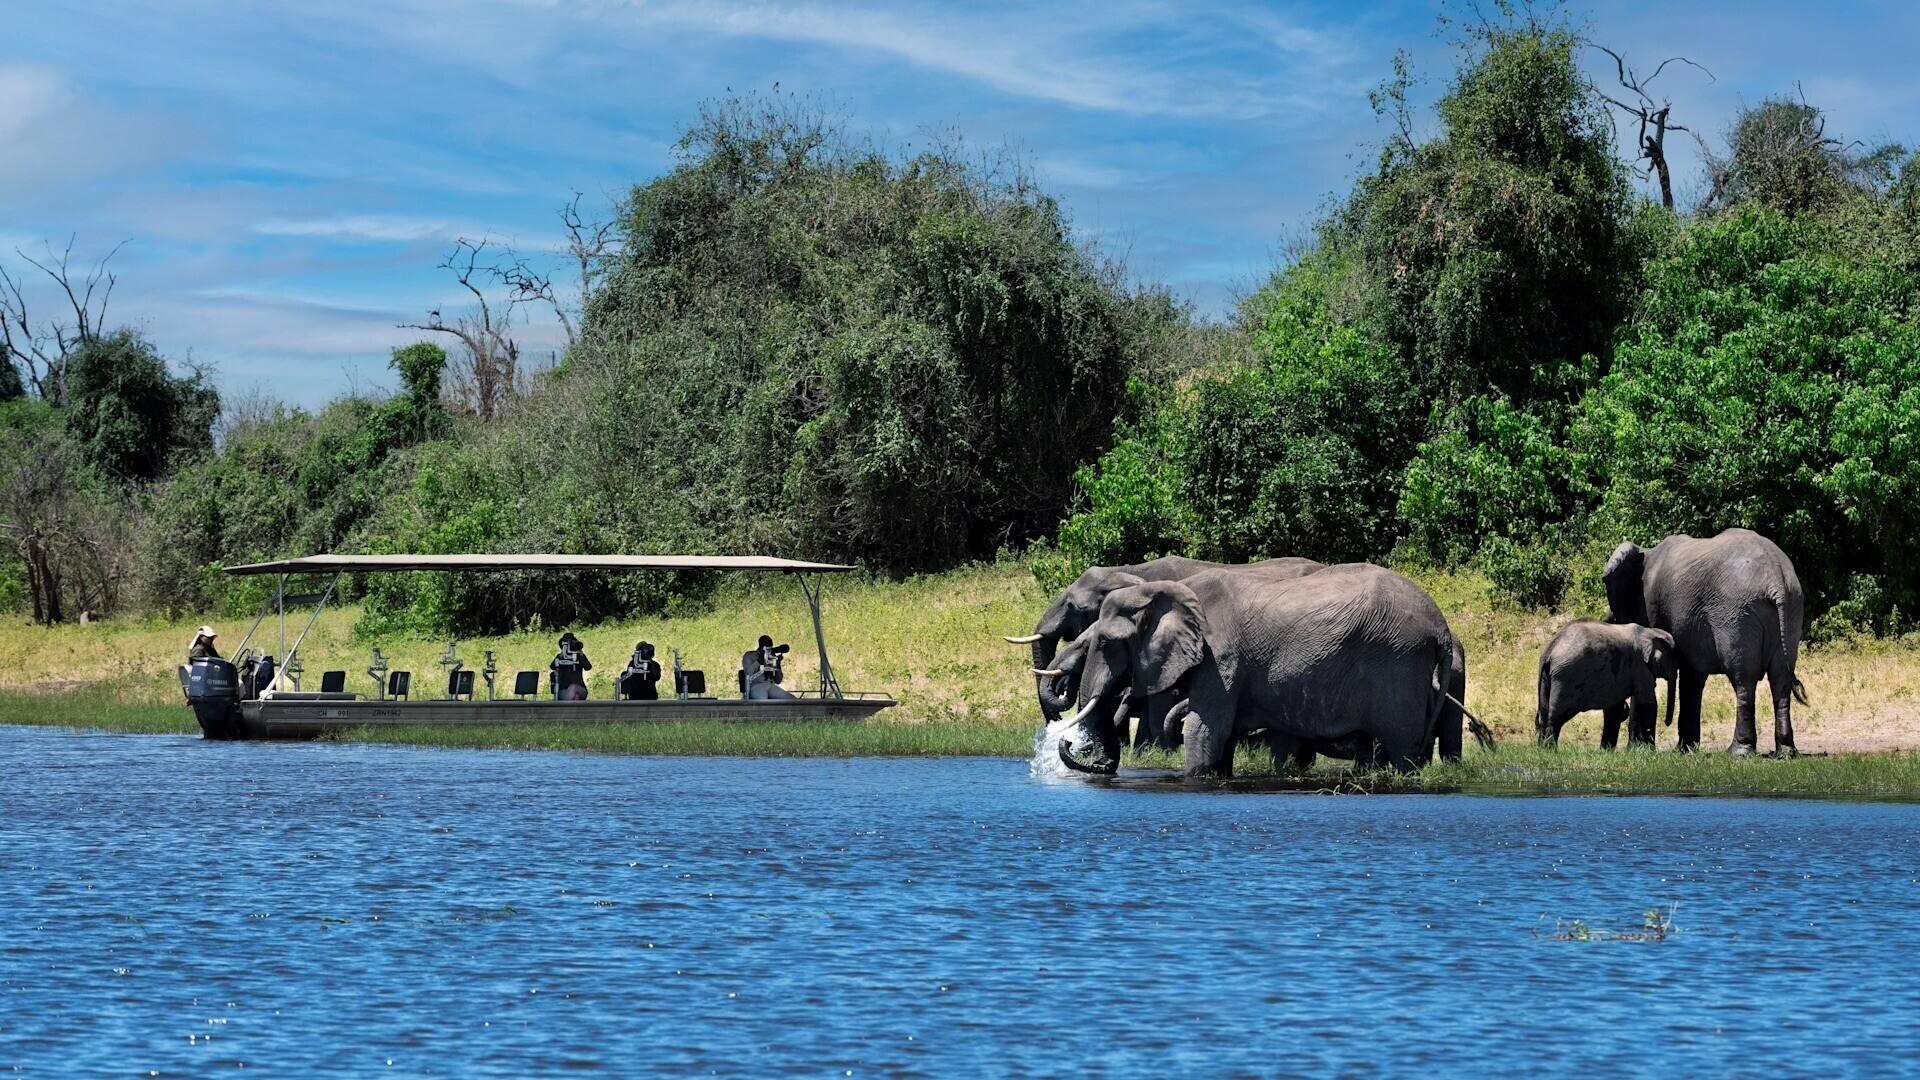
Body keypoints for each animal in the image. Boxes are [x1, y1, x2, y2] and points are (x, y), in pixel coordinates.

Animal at [1052, 564, 1451, 772]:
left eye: (1106, 642)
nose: (1067, 740)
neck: (1162, 590)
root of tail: (1442, 628)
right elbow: (1221, 736)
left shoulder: (1220, 659)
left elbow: (1203, 729)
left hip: (1398, 661)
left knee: (1402, 746)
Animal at [1536, 618, 1674, 745]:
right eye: (1674, 658)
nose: (1666, 722)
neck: (1649, 631)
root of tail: (1550, 650)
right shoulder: (1640, 666)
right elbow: (1649, 704)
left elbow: (1614, 709)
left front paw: (1606, 750)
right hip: (1566, 677)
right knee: (1556, 717)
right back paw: (1550, 749)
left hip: (1547, 677)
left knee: (1544, 714)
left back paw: (1542, 748)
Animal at [1597, 526, 1804, 753]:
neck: (1646, 552)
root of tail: (1776, 579)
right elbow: (1692, 676)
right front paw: (1685, 749)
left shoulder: (1651, 603)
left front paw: (1639, 748)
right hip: (1792, 608)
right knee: (1780, 677)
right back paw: (1785, 752)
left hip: (1737, 613)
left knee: (1743, 677)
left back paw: (1738, 752)